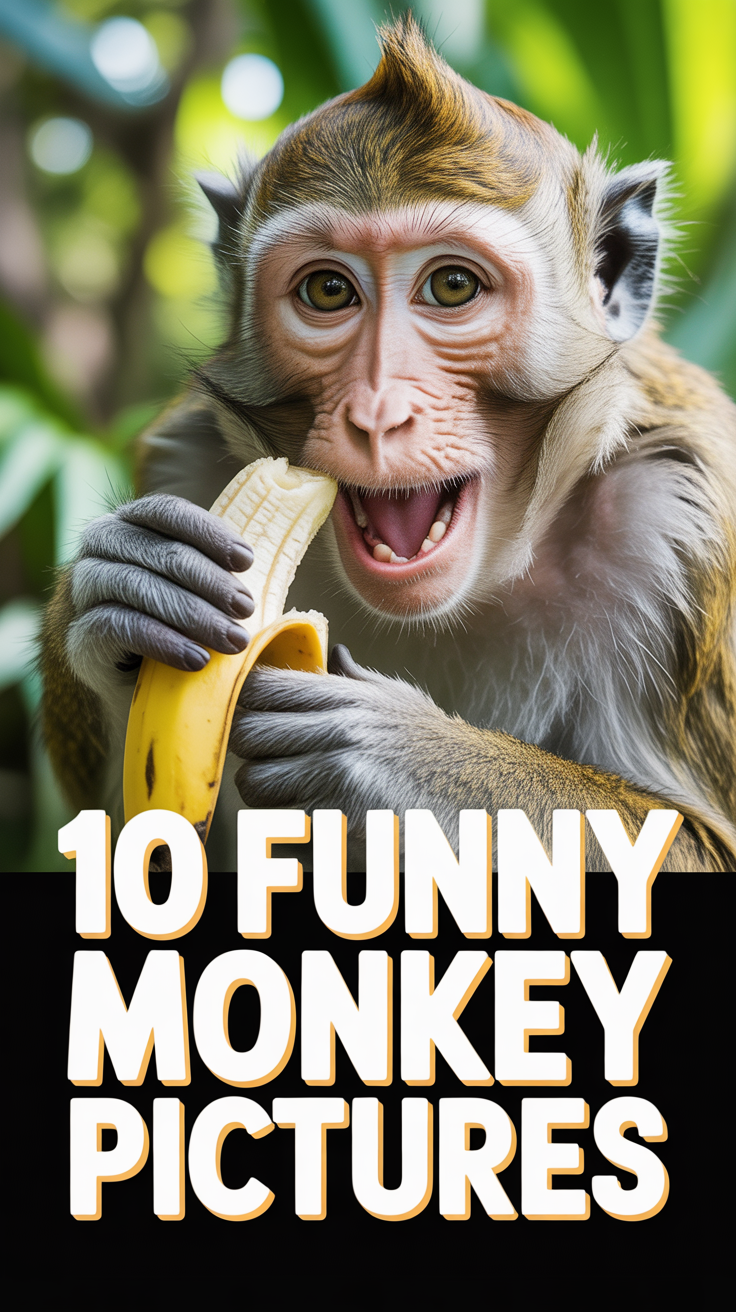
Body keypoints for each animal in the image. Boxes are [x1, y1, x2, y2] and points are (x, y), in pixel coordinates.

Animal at [40, 17, 736, 872]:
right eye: (328, 290)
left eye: (452, 286)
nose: (376, 411)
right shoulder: (186, 458)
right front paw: (122, 586)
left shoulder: (681, 521)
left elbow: (700, 841)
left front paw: (399, 761)